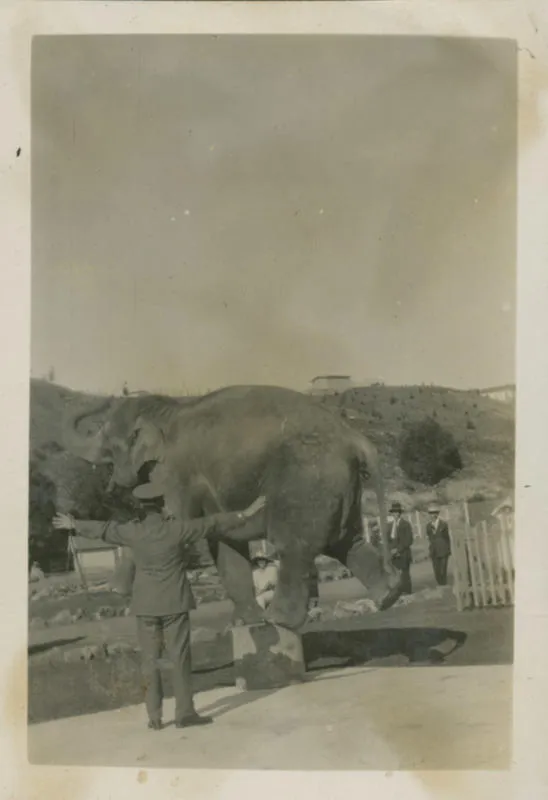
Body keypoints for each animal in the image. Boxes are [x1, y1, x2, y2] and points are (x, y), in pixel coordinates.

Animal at [63, 385, 402, 630]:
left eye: (107, 439)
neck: (166, 411)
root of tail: (356, 438)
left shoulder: (176, 473)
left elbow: (174, 519)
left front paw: (116, 590)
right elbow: (224, 545)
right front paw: (245, 623)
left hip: (308, 482)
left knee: (293, 546)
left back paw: (279, 620)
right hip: (340, 489)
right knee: (347, 541)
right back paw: (388, 595)